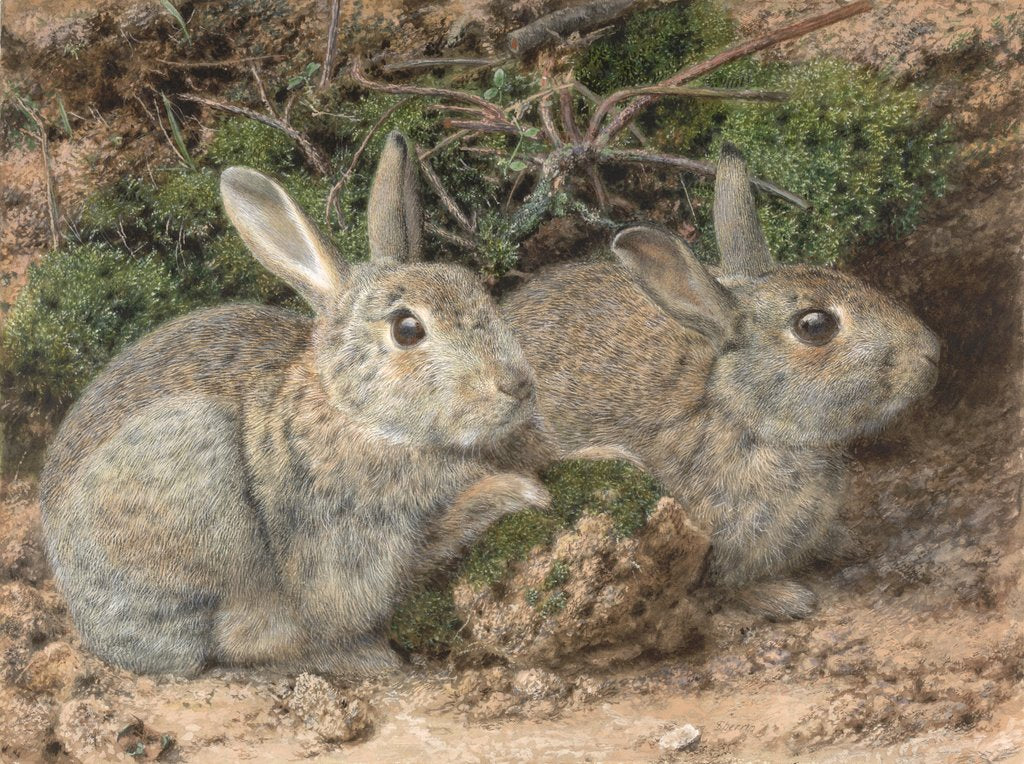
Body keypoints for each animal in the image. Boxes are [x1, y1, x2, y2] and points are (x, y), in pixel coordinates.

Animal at [40, 132, 553, 677]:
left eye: (476, 289)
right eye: (408, 329)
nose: (517, 385)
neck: (355, 414)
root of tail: (85, 615)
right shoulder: (350, 545)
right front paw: (517, 493)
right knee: (243, 639)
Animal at [502, 144, 940, 620]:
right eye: (815, 325)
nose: (931, 353)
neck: (738, 412)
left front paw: (846, 541)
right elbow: (731, 588)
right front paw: (787, 598)